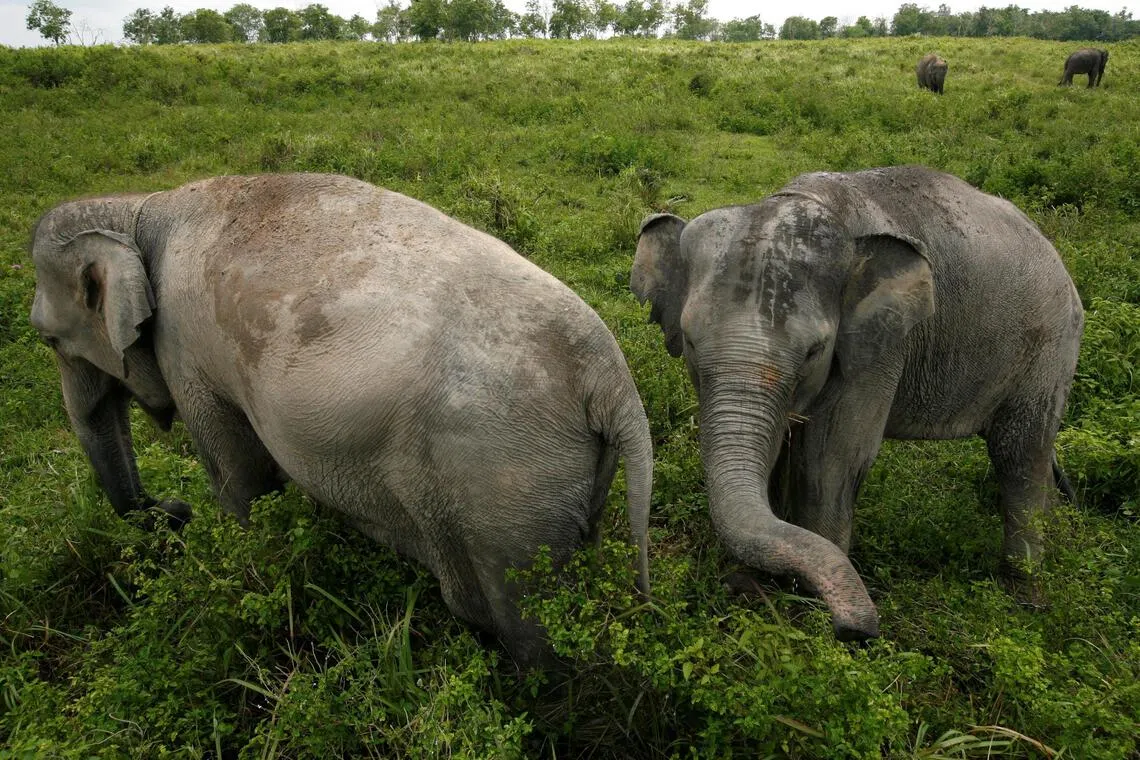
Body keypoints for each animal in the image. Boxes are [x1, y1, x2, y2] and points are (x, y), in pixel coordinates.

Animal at [29, 172, 652, 668]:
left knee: (526, 625)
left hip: (505, 485)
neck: (134, 207)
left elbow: (238, 477)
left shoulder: (186, 351)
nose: (173, 510)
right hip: (559, 482)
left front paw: (247, 557)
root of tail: (611, 380)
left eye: (49, 339)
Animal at [632, 165, 1083, 640]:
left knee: (1019, 454)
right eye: (690, 341)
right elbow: (779, 452)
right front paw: (759, 585)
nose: (858, 629)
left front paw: (807, 614)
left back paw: (1025, 595)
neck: (805, 202)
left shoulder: (881, 347)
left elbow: (830, 459)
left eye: (814, 352)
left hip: (1050, 348)